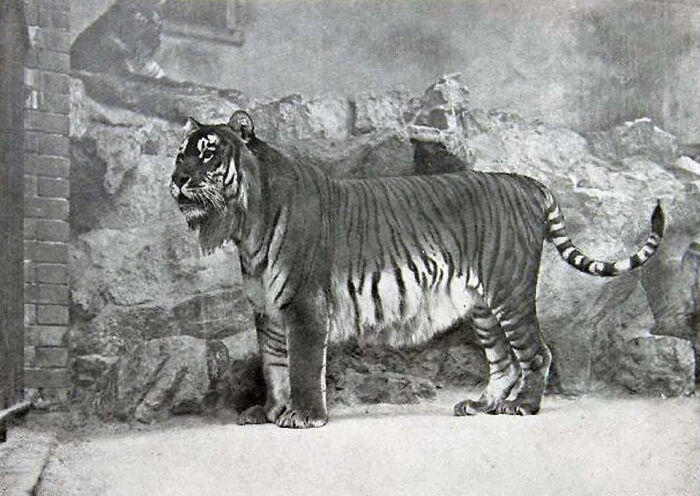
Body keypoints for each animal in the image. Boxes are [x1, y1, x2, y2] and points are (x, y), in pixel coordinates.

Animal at [169, 110, 665, 428]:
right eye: (180, 154)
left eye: (209, 153)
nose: (177, 180)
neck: (246, 223)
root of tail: (526, 182)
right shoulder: (267, 309)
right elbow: (273, 365)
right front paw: (269, 412)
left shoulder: (303, 306)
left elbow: (303, 365)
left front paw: (304, 417)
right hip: (483, 306)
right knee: (503, 361)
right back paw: (480, 405)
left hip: (510, 291)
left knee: (536, 353)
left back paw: (522, 407)